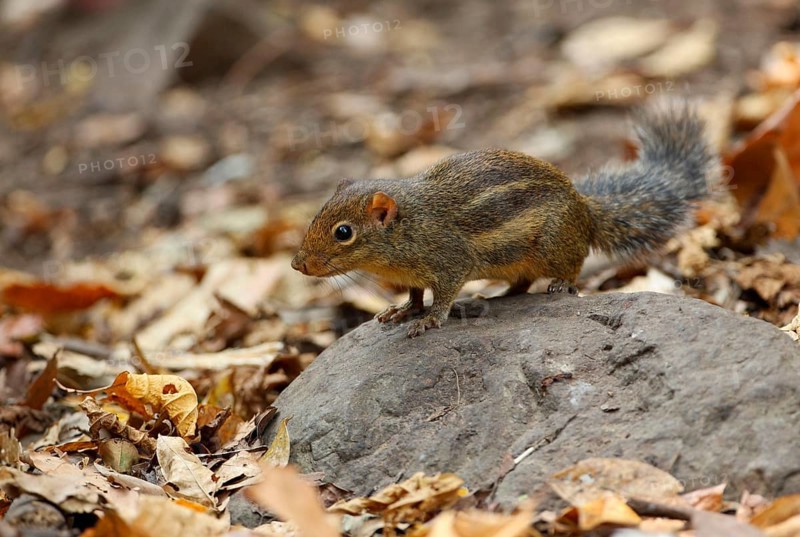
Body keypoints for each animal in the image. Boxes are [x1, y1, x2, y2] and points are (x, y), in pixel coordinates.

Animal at [291, 104, 718, 337]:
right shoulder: (413, 275)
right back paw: (502, 294)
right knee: (523, 282)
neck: (410, 227)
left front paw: (429, 319)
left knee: (573, 267)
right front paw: (403, 310)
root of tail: (584, 210)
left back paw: (560, 285)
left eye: (343, 232)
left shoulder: (450, 261)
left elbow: (441, 296)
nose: (298, 264)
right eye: (316, 216)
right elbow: (414, 294)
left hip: (553, 244)